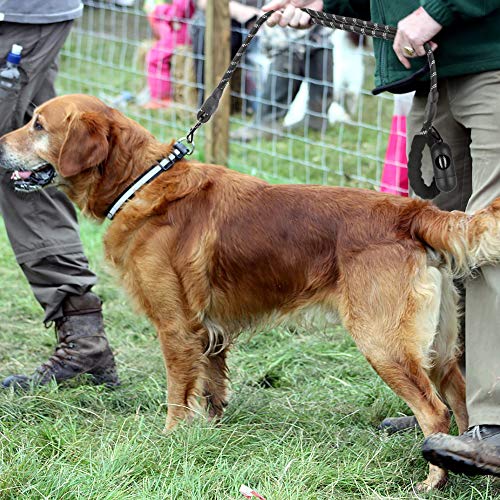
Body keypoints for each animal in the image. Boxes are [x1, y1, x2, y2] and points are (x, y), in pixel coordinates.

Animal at [0, 94, 500, 488]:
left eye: (38, 124)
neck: (140, 181)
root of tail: (413, 212)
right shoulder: (209, 332)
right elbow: (211, 389)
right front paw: (209, 433)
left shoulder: (176, 328)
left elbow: (177, 394)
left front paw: (169, 440)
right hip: (437, 347)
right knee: (459, 401)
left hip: (384, 342)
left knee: (434, 411)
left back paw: (433, 481)